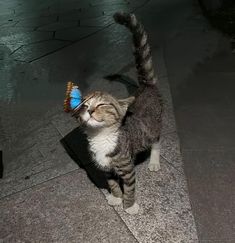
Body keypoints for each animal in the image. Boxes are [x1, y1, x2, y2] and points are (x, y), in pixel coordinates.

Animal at [75, 12, 162, 215]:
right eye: (84, 105)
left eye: (102, 104)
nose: (89, 110)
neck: (101, 138)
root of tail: (146, 87)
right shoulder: (105, 168)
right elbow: (113, 184)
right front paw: (115, 197)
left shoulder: (127, 167)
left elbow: (129, 187)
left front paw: (129, 206)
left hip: (154, 125)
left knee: (156, 141)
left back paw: (154, 161)